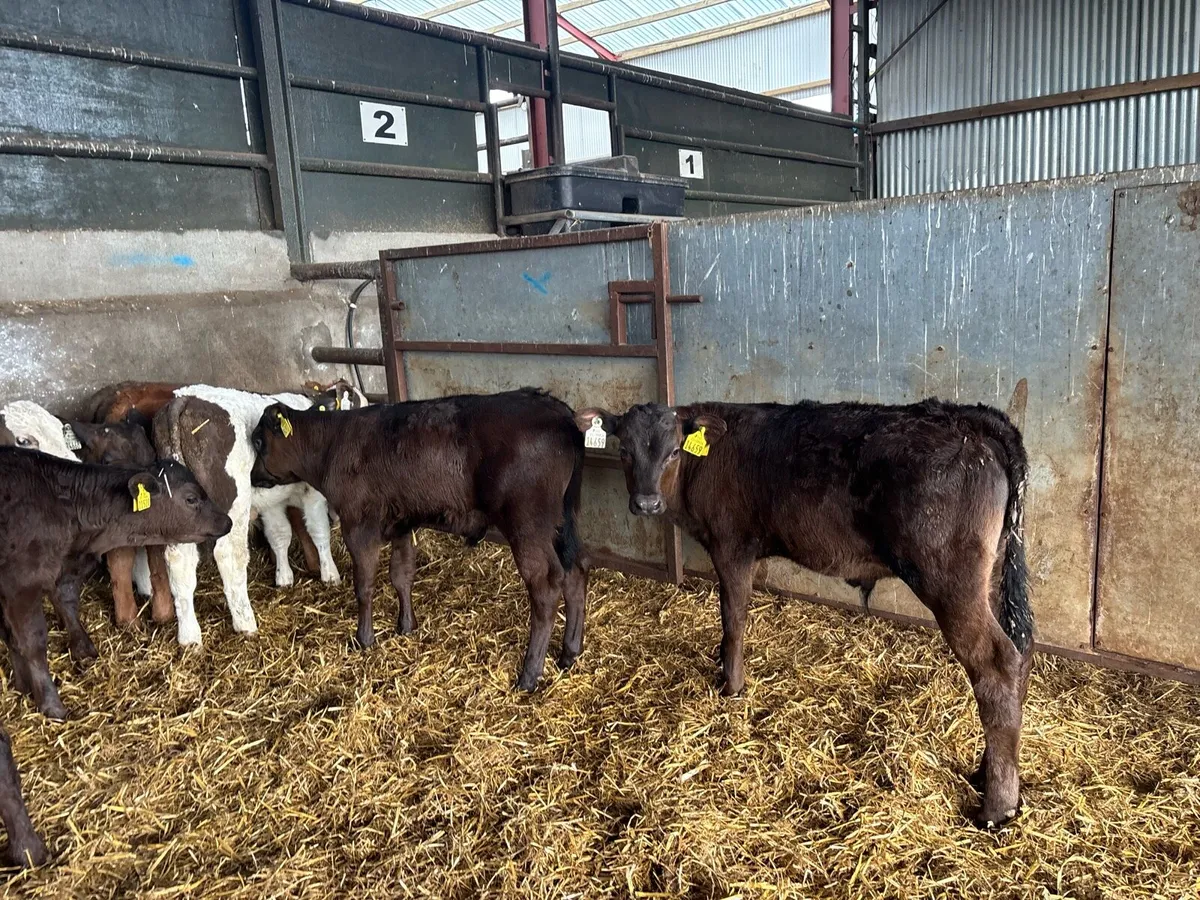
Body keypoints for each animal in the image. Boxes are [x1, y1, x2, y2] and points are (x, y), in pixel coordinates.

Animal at [0, 448, 231, 719]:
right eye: (191, 498)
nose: (227, 521)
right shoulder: (21, 587)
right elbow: (31, 642)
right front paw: (50, 703)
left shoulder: (65, 570)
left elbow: (63, 605)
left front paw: (81, 651)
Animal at [249, 388, 589, 691]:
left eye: (258, 441)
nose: (252, 477)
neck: (332, 443)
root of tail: (557, 410)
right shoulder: (400, 523)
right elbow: (401, 575)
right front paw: (406, 626)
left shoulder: (358, 524)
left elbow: (364, 586)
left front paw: (364, 638)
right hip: (560, 525)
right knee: (575, 572)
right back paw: (569, 653)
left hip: (527, 525)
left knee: (546, 588)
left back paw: (529, 675)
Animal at [575, 398, 1033, 829]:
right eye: (624, 450)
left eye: (673, 451)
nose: (646, 503)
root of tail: (969, 418)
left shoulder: (731, 546)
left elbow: (733, 618)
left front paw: (732, 684)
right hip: (991, 577)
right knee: (1020, 656)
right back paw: (988, 772)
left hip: (950, 581)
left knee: (997, 666)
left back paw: (997, 807)